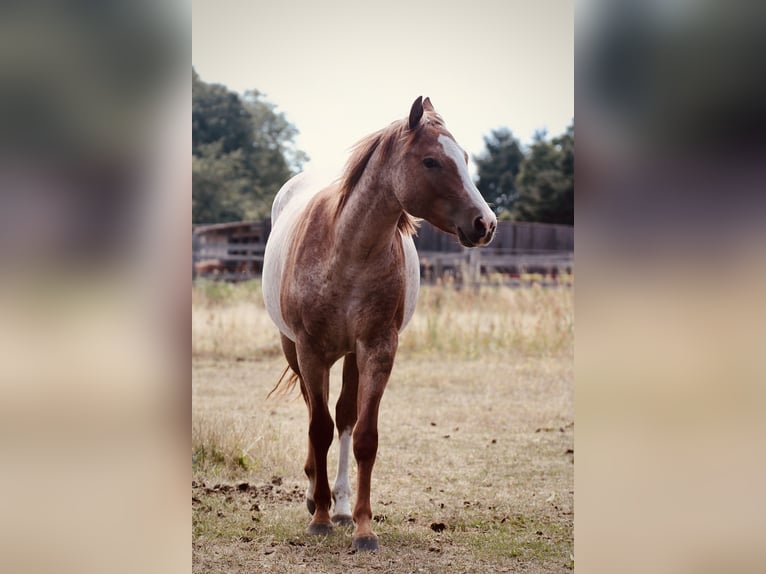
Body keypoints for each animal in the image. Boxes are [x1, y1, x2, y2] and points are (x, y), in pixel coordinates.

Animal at [262, 96, 496, 551]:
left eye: (464, 157)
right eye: (431, 161)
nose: (486, 223)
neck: (346, 249)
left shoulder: (377, 348)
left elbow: (363, 436)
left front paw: (362, 526)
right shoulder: (310, 349)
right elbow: (319, 428)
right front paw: (318, 518)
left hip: (352, 355)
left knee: (344, 416)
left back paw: (339, 505)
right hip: (295, 349)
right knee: (315, 412)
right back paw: (315, 496)